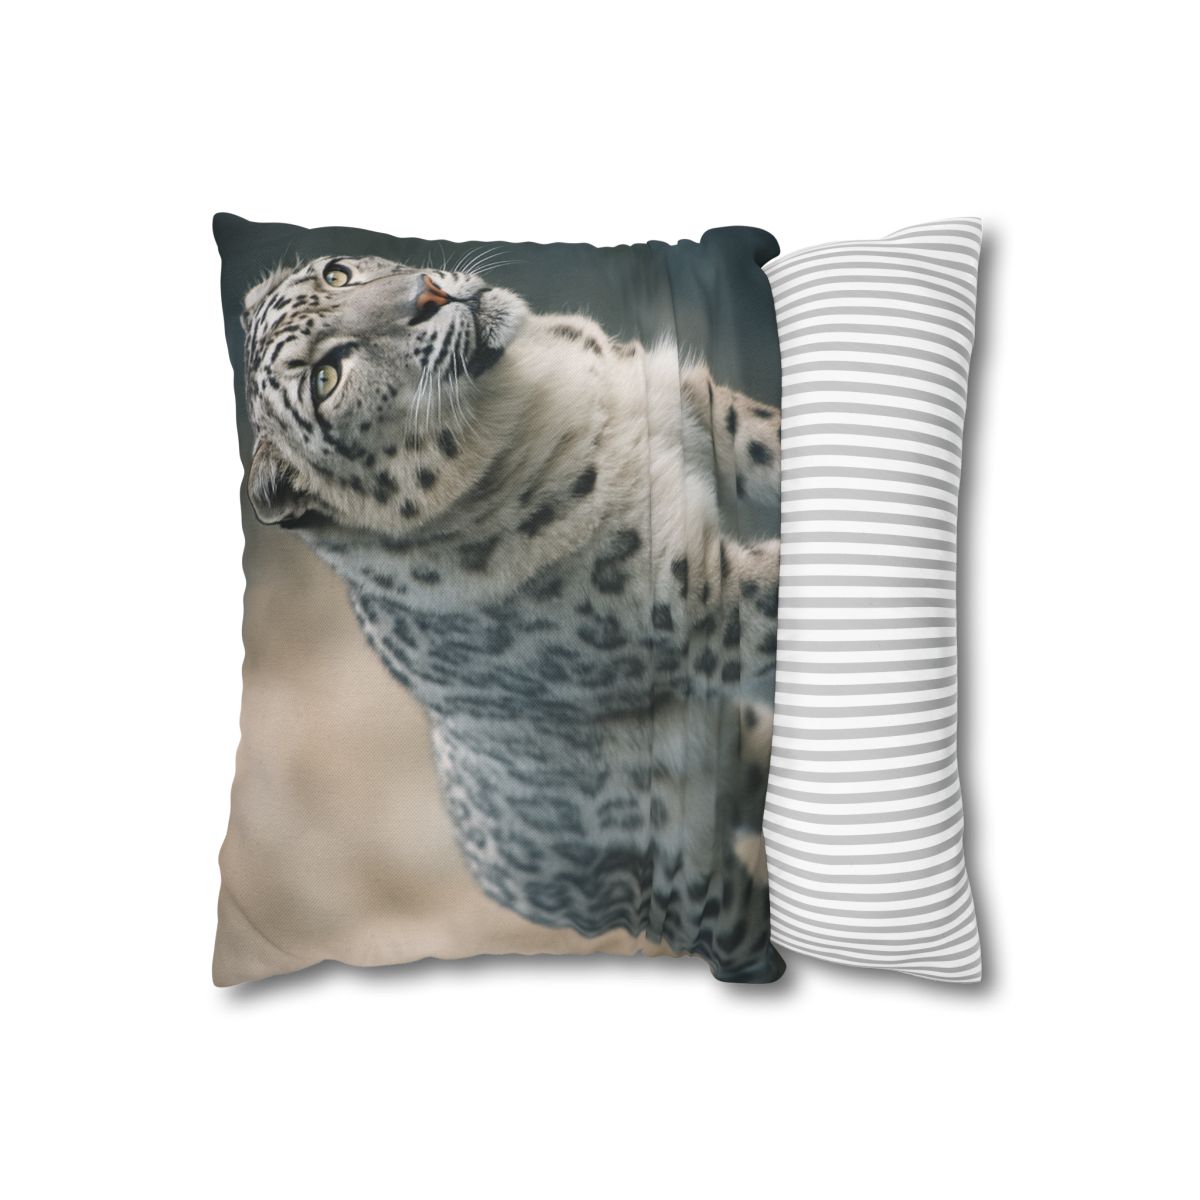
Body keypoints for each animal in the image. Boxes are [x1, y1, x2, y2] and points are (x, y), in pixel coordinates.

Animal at [240, 252, 785, 981]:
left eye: (336, 273)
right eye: (326, 377)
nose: (427, 295)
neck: (539, 405)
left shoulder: (699, 405)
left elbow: (770, 438)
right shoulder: (702, 609)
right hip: (696, 892)